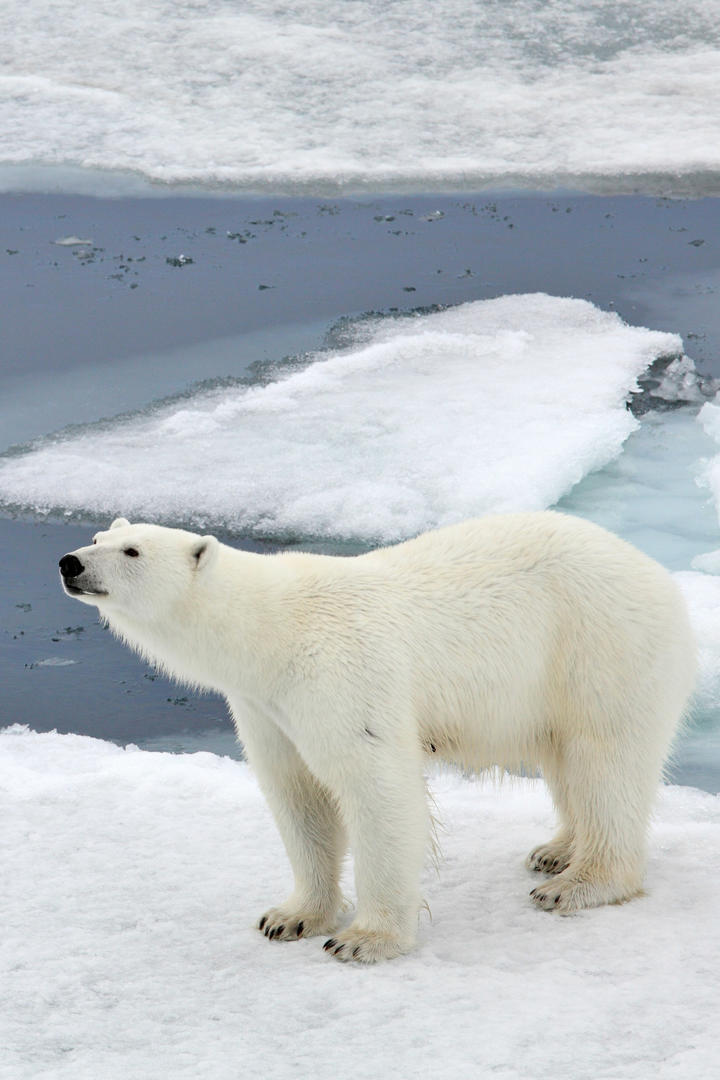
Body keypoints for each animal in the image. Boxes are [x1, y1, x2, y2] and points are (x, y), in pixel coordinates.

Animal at [60, 514, 699, 963]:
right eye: (97, 535)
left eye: (132, 551)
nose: (69, 562)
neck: (272, 631)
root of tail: (659, 576)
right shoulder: (267, 706)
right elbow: (298, 795)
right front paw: (289, 917)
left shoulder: (342, 674)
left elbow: (375, 786)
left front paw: (363, 940)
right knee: (565, 758)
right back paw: (555, 850)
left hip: (598, 645)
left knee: (605, 758)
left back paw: (580, 883)